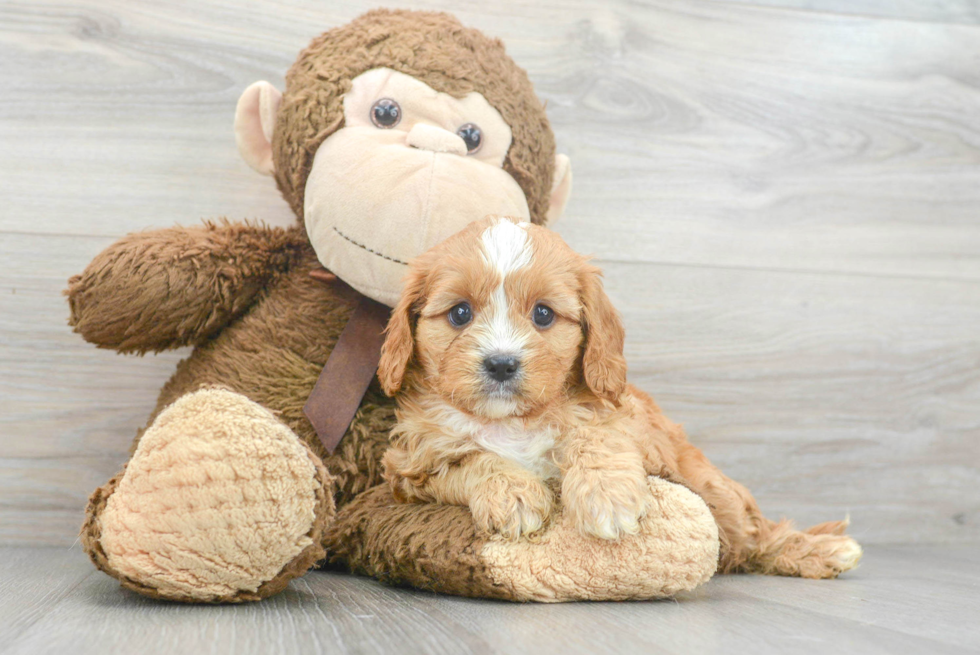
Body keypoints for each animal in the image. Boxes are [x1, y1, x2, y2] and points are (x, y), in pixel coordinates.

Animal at [378, 217, 860, 580]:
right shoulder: (413, 465)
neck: (512, 421)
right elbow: (471, 459)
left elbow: (596, 434)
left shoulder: (623, 418)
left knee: (758, 535)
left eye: (543, 314)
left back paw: (823, 551)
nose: (500, 364)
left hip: (715, 491)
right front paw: (513, 494)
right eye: (460, 313)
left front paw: (607, 496)